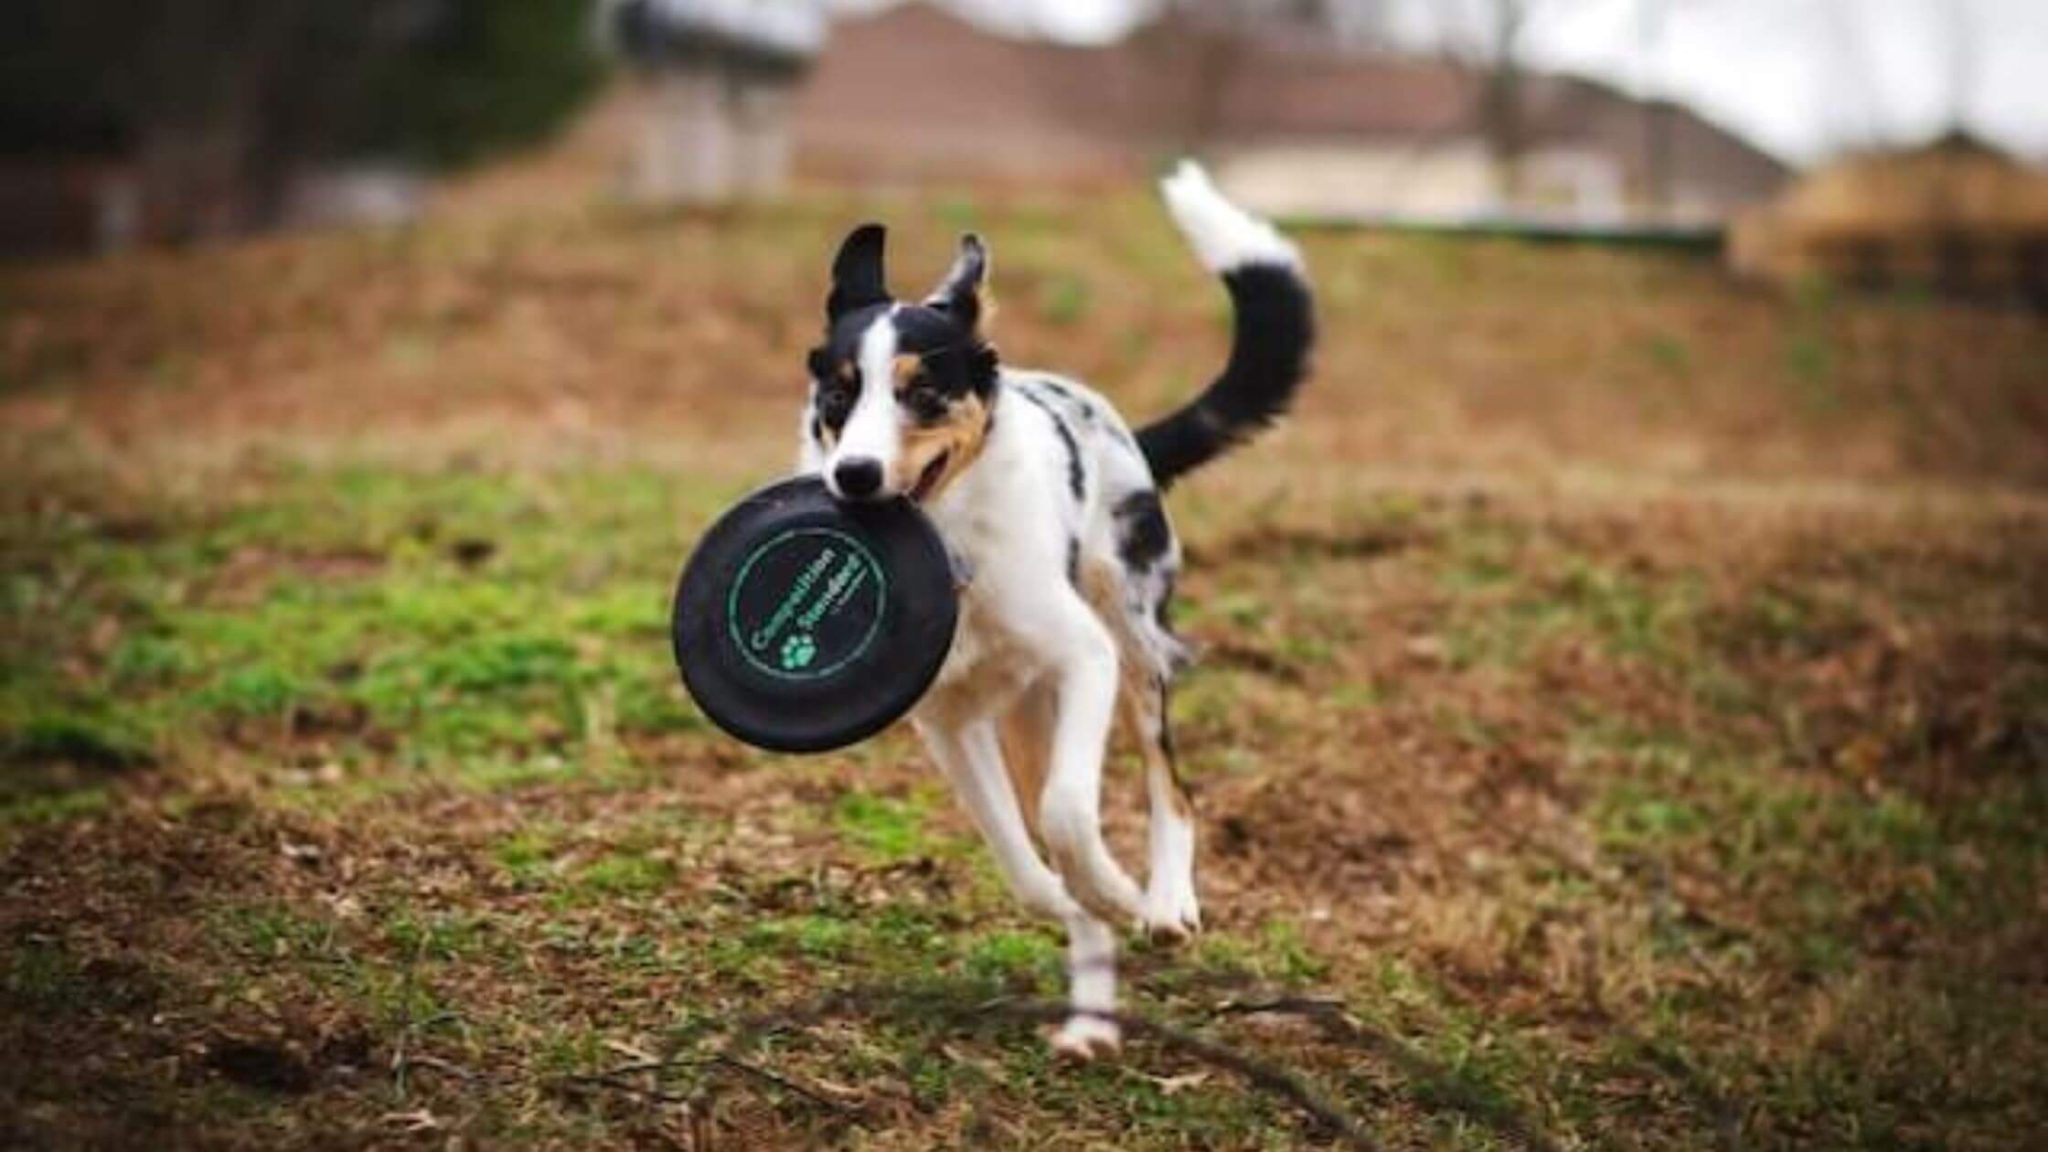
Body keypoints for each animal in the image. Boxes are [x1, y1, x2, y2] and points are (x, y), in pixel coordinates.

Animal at [798, 161, 1310, 1057]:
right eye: (838, 394)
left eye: (922, 393)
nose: (853, 477)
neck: (956, 547)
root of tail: (1122, 430)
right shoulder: (949, 722)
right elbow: (1022, 859)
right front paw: (1081, 905)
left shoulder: (1083, 659)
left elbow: (1069, 814)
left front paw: (1123, 893)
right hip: (1024, 714)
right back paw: (1090, 1017)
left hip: (1133, 642)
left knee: (1172, 789)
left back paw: (1165, 901)